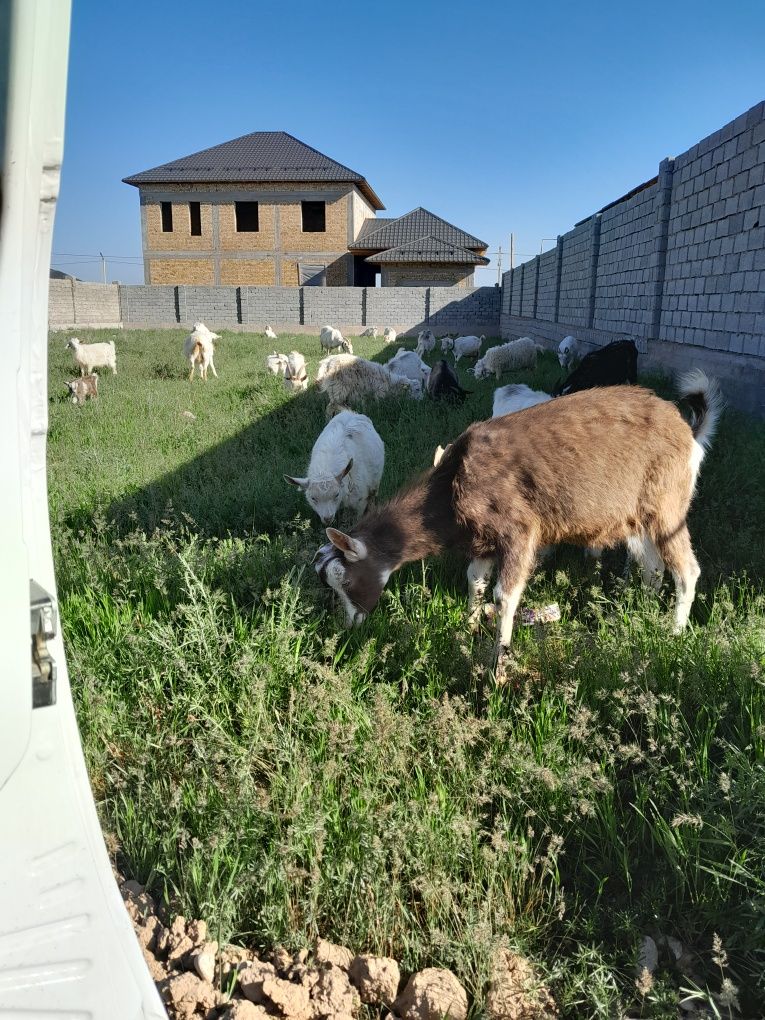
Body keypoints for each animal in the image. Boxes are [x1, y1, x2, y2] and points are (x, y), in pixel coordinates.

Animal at [314, 371, 722, 681]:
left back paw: (673, 633)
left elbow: (504, 596)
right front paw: (467, 627)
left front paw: (498, 665)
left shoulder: (519, 532)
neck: (450, 486)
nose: (349, 625)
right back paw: (638, 611)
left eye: (345, 579)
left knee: (687, 569)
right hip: (639, 517)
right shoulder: (482, 539)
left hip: (669, 507)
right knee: (653, 567)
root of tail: (689, 433)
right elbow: (475, 581)